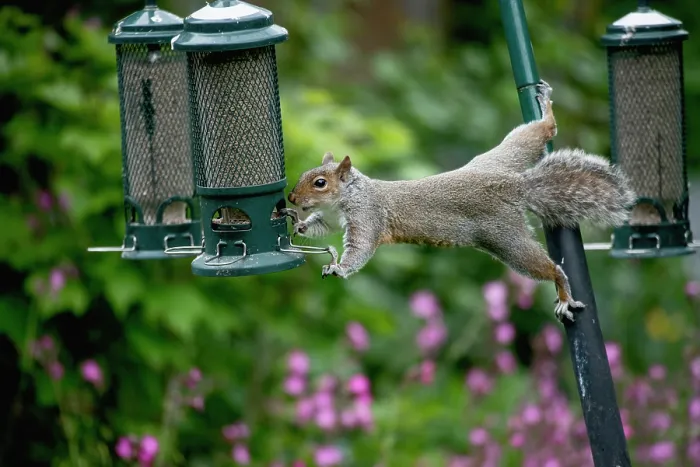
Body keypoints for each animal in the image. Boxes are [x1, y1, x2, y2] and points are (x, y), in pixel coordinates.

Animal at [285, 81, 635, 322]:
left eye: (320, 183)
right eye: (305, 174)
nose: (291, 196)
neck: (347, 197)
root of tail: (515, 185)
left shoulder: (368, 216)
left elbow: (359, 249)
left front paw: (339, 268)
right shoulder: (332, 217)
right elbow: (319, 227)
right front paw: (299, 224)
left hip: (506, 239)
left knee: (548, 268)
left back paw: (562, 290)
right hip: (503, 155)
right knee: (540, 132)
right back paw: (544, 107)